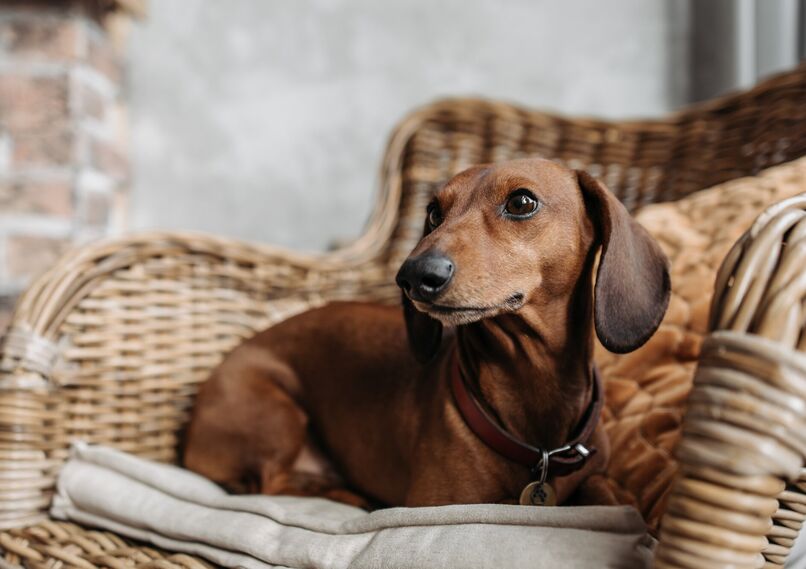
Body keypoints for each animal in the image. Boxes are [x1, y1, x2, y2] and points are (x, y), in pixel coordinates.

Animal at [183, 159, 668, 506]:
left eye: (522, 202)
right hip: (277, 414)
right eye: (434, 212)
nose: (414, 275)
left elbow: (607, 494)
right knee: (270, 483)